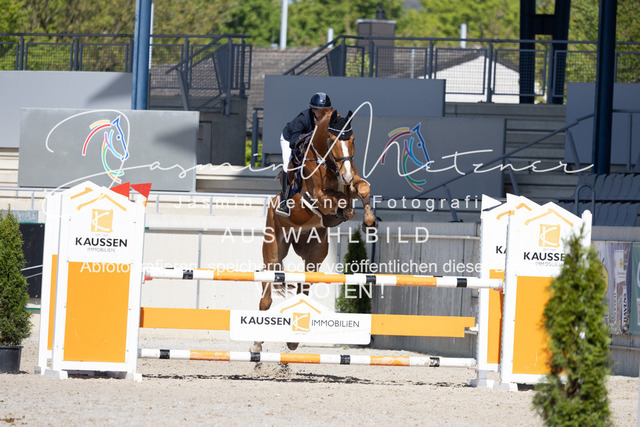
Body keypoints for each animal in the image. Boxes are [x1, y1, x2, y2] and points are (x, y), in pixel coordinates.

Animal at [251, 107, 376, 353]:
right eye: (331, 140)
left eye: (353, 140)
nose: (346, 175)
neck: (329, 164)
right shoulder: (318, 196)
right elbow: (339, 199)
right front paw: (344, 212)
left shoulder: (353, 180)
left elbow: (363, 188)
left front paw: (369, 221)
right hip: (273, 247)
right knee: (267, 294)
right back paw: (256, 345)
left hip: (315, 253)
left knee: (305, 285)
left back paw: (292, 341)